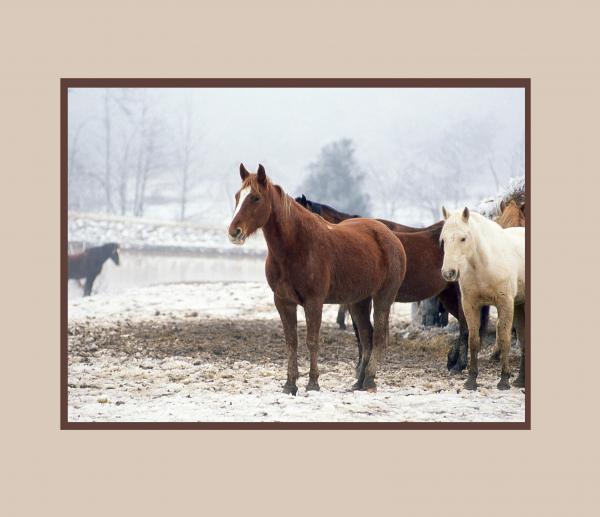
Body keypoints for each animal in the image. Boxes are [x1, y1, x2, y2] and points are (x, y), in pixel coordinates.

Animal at [230, 164, 408, 392]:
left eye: (255, 198)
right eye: (238, 196)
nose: (234, 232)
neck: (296, 246)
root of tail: (390, 237)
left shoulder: (313, 302)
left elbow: (312, 341)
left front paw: (312, 383)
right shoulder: (283, 302)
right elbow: (291, 342)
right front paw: (290, 384)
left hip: (383, 297)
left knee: (377, 338)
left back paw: (369, 380)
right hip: (358, 301)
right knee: (366, 336)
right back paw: (358, 382)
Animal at [438, 208, 524, 390]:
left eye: (463, 238)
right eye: (443, 240)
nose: (448, 272)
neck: (484, 266)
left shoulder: (505, 304)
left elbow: (504, 338)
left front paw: (504, 380)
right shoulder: (470, 305)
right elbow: (474, 340)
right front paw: (471, 380)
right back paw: (520, 380)